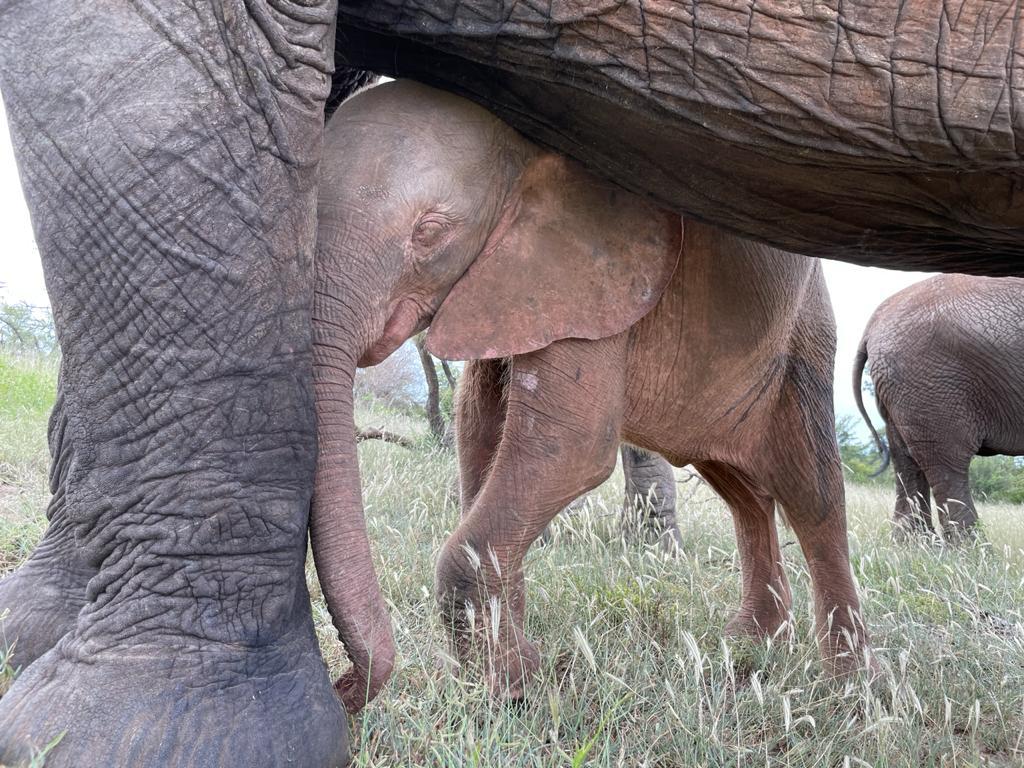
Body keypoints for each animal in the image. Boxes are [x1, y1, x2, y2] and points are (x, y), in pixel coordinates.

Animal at [309, 79, 868, 699]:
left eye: (430, 232)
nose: (346, 685)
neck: (525, 144)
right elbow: (480, 433)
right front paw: (515, 670)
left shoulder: (598, 278)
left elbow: (568, 449)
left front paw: (517, 686)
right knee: (743, 492)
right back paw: (750, 643)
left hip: (805, 335)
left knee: (812, 495)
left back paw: (850, 686)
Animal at [853, 274, 1024, 540]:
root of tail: (872, 326)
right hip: (931, 383)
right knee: (948, 464)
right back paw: (971, 549)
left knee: (906, 462)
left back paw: (916, 544)